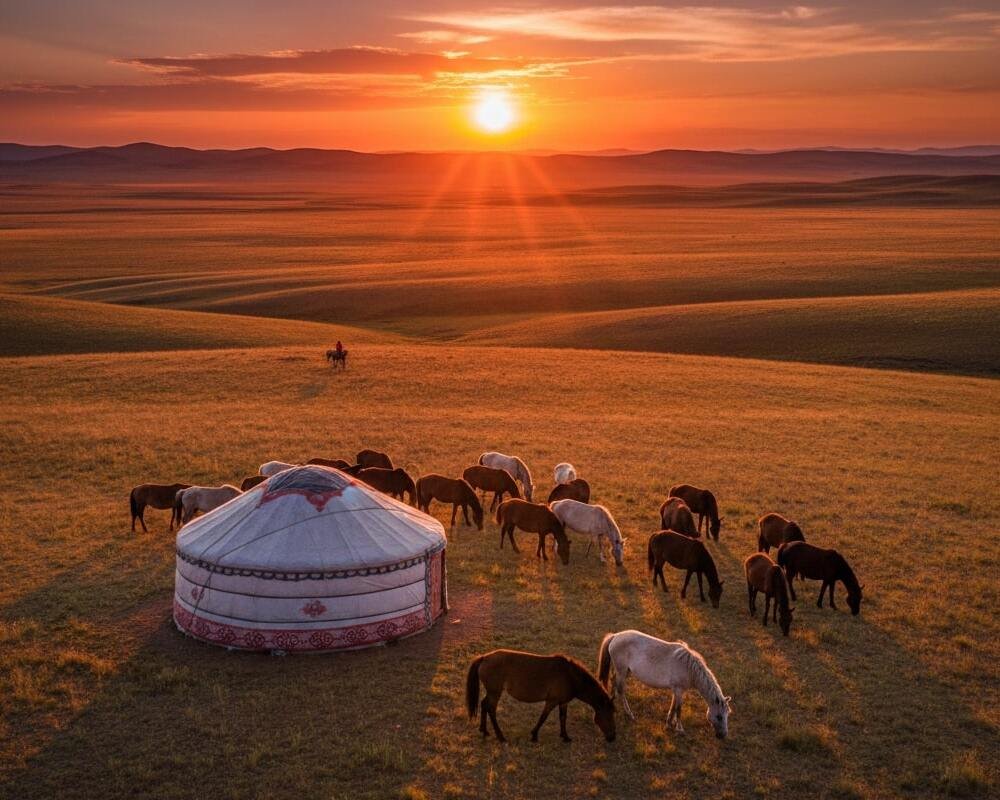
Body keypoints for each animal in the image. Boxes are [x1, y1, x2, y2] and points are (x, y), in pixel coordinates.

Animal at [466, 649, 615, 743]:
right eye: (609, 715)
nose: (612, 738)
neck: (570, 676)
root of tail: (484, 657)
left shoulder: (563, 702)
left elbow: (563, 718)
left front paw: (565, 736)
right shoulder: (551, 701)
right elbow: (543, 717)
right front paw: (534, 735)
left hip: (492, 692)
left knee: (484, 705)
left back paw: (484, 731)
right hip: (495, 693)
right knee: (491, 709)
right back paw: (500, 736)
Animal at [597, 630, 730, 737]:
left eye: (727, 714)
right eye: (719, 716)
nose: (723, 735)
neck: (689, 668)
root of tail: (615, 636)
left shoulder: (676, 691)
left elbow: (673, 706)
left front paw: (669, 723)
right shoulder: (679, 690)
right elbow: (678, 709)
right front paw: (679, 729)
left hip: (624, 671)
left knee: (613, 681)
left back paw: (612, 702)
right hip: (622, 670)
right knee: (621, 689)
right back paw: (629, 714)